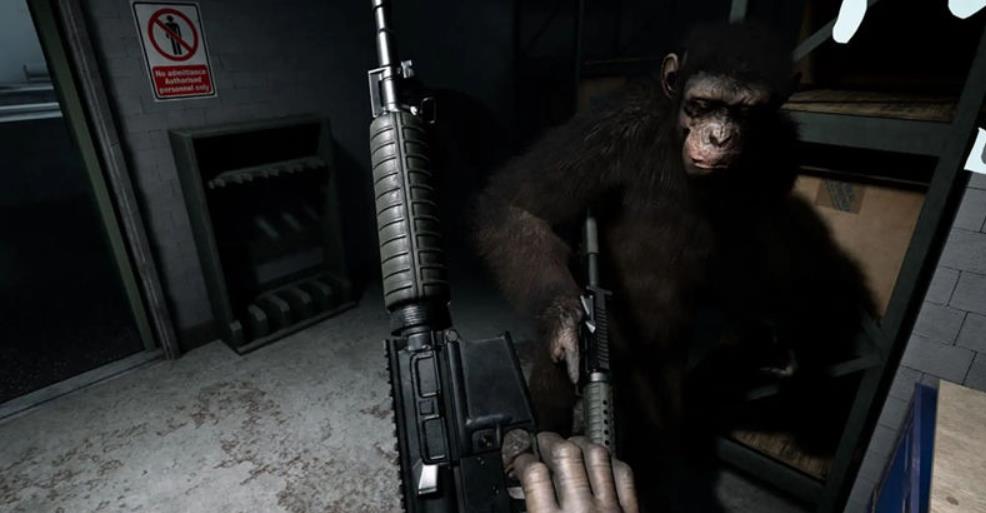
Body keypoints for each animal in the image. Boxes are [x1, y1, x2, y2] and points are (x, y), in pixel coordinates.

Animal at [474, 22, 874, 512]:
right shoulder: (609, 129)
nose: (718, 136)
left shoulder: (781, 155)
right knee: (558, 369)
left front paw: (782, 340)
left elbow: (755, 248)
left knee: (662, 431)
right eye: (701, 105)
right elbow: (518, 206)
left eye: (744, 112)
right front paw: (565, 321)